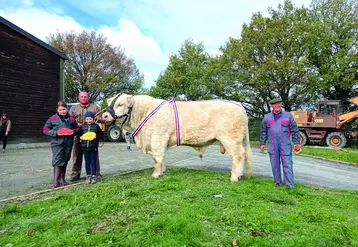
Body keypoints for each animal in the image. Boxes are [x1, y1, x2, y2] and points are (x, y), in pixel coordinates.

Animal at [102, 93, 253, 182]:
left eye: (120, 104)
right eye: (109, 104)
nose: (104, 116)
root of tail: (238, 104)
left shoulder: (158, 138)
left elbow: (157, 158)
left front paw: (155, 174)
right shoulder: (161, 141)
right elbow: (162, 158)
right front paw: (162, 172)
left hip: (230, 139)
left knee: (239, 155)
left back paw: (234, 177)